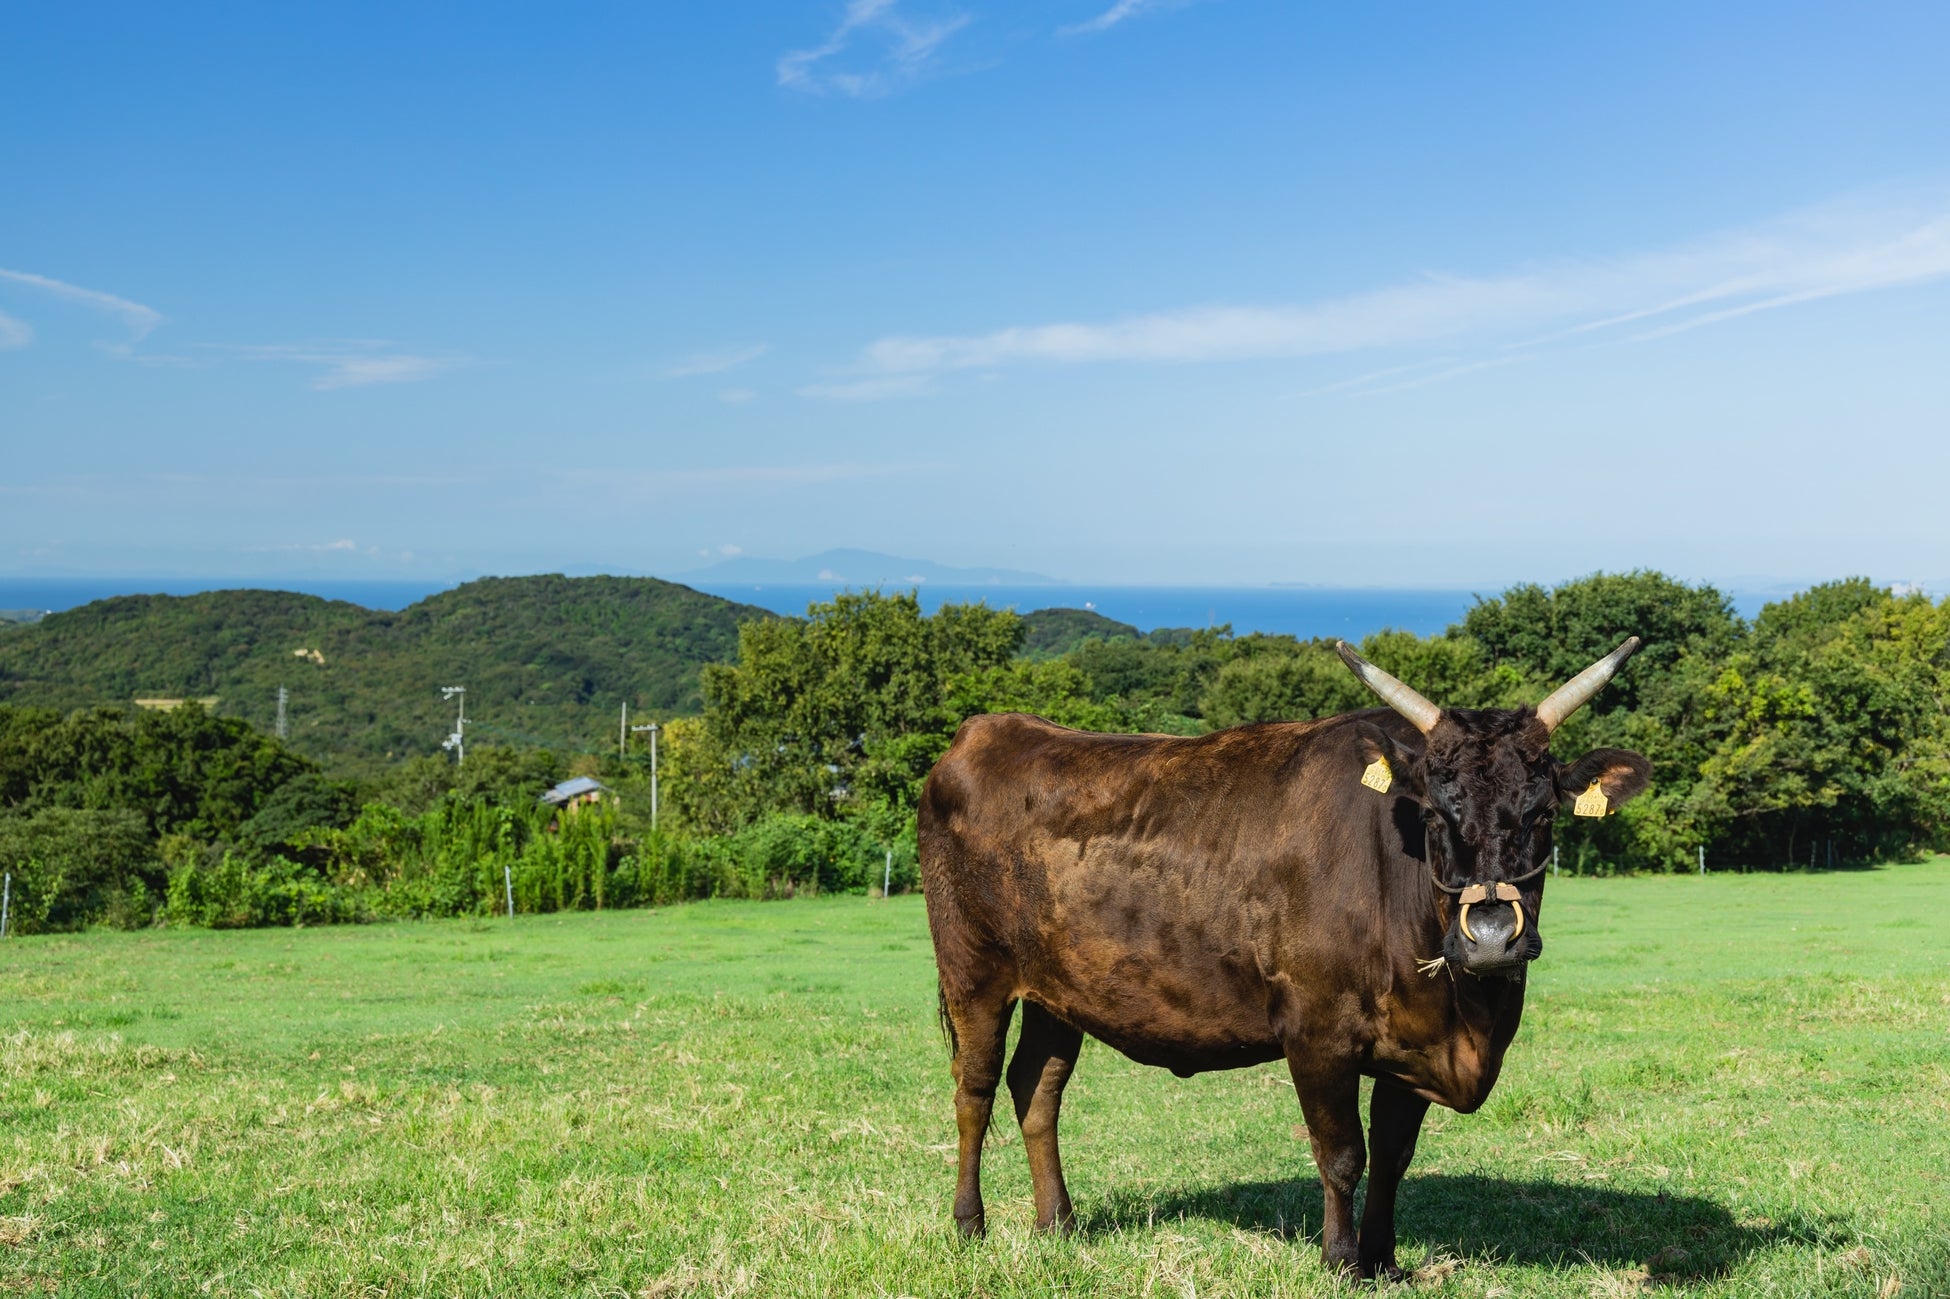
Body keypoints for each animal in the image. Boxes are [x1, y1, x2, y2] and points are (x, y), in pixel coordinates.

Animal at [920, 635, 1653, 1271]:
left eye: (1543, 814)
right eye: (1436, 814)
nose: (1494, 933)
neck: (1463, 1017)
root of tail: (988, 729)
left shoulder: (1410, 1044)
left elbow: (1392, 1155)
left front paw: (1384, 1259)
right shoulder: (1316, 1032)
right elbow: (1342, 1154)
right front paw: (1342, 1259)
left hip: (1058, 992)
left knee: (1037, 1088)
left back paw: (1059, 1223)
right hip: (972, 973)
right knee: (975, 1088)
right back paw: (969, 1223)